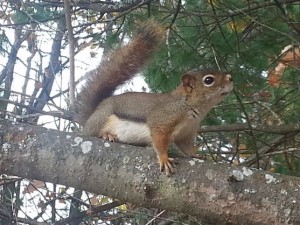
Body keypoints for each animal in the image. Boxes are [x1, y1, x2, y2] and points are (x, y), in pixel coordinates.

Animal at [76, 20, 233, 176]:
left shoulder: (186, 134)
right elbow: (159, 141)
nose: (231, 78)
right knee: (93, 132)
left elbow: (187, 148)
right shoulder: (162, 120)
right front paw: (164, 159)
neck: (187, 105)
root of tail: (92, 115)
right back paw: (107, 135)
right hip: (102, 118)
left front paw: (197, 155)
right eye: (209, 80)